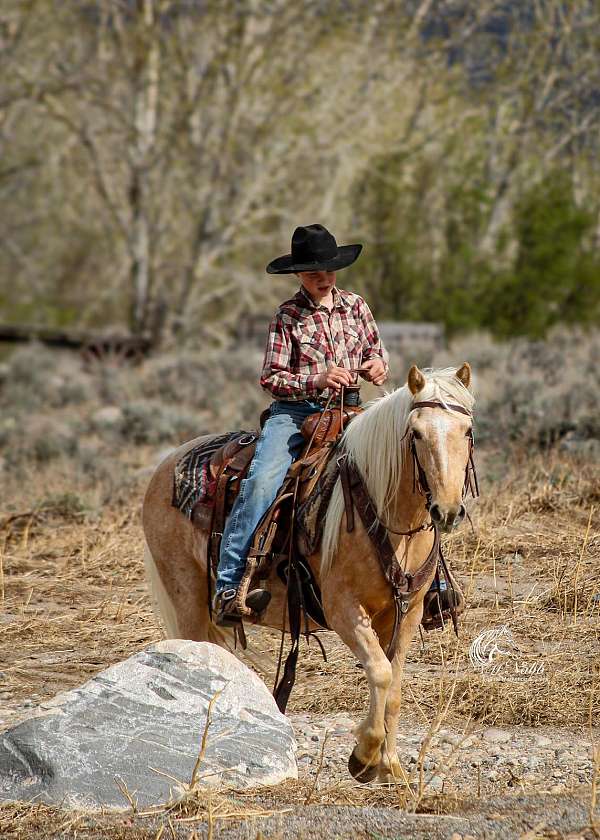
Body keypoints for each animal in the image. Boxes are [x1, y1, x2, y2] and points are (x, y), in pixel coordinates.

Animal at [142, 363, 475, 783]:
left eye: (467, 431)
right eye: (415, 433)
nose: (447, 511)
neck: (384, 513)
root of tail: (165, 464)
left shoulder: (407, 612)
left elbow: (395, 684)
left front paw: (390, 766)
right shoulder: (343, 609)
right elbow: (380, 672)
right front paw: (363, 756)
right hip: (186, 596)